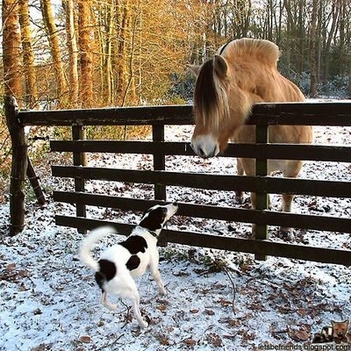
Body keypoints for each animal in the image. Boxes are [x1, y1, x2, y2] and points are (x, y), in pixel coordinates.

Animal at [188, 37, 314, 236]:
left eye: (219, 103)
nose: (198, 146)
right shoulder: (251, 164)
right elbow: (256, 196)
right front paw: (257, 231)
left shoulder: (294, 166)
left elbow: (287, 195)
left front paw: (286, 229)